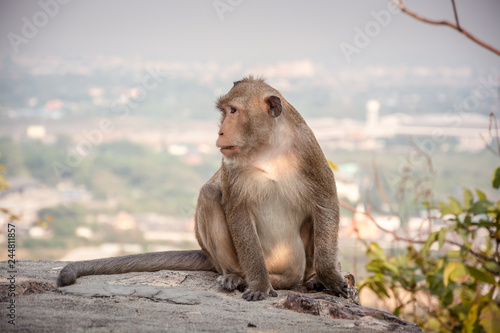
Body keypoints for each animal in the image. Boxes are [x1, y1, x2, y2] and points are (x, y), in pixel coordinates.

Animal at [57, 76, 348, 300]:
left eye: (233, 111)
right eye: (224, 112)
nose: (220, 132)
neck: (268, 148)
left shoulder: (308, 151)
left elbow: (325, 203)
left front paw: (329, 276)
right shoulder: (231, 167)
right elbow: (237, 211)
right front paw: (258, 285)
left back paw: (310, 279)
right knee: (210, 195)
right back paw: (238, 277)